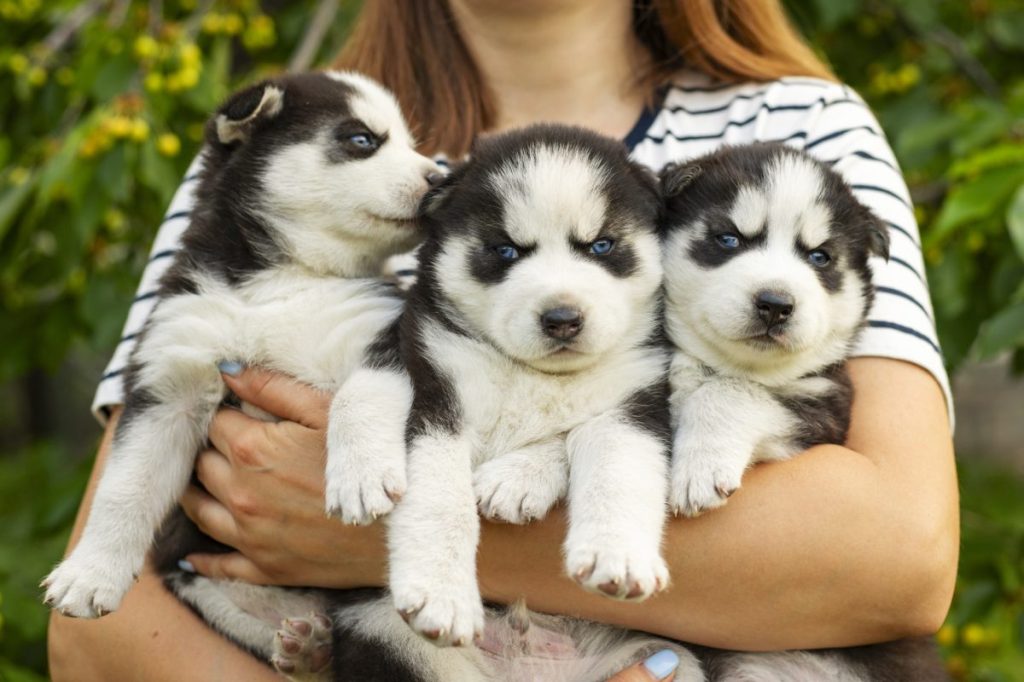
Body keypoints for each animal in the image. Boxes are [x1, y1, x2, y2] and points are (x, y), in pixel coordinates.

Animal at [41, 70, 442, 643]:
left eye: (412, 144)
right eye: (362, 139)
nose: (440, 179)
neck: (279, 281)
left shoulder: (387, 334)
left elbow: (358, 396)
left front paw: (360, 476)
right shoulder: (170, 375)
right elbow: (124, 485)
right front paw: (88, 573)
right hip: (207, 589)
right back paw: (306, 647)